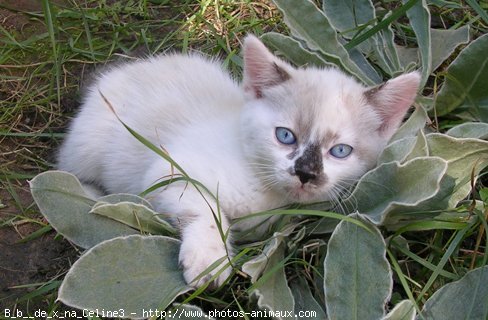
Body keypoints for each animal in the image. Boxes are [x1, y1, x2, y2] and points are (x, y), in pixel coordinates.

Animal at [55, 35, 418, 288]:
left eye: (340, 151)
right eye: (285, 136)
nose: (305, 173)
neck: (263, 188)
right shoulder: (168, 171)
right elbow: (205, 207)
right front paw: (209, 260)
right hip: (87, 146)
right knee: (69, 169)